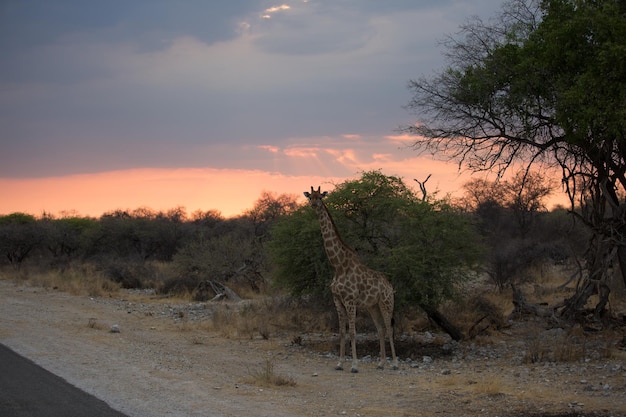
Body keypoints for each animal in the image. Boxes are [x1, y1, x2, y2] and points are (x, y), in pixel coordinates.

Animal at [302, 187, 394, 372]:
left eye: (320, 197)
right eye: (310, 197)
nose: (314, 205)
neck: (338, 265)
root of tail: (390, 286)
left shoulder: (350, 300)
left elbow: (352, 332)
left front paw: (354, 365)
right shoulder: (337, 300)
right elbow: (342, 332)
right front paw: (339, 363)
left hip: (386, 303)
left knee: (389, 329)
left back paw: (394, 363)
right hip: (373, 306)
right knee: (381, 329)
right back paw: (381, 363)